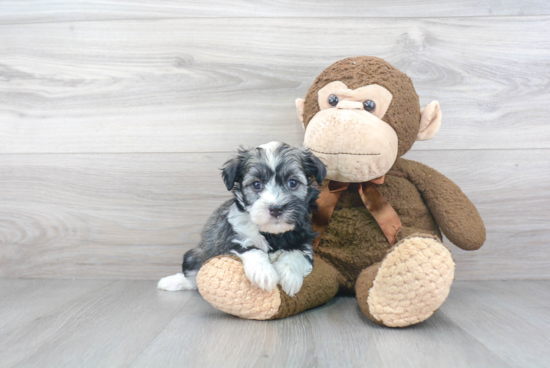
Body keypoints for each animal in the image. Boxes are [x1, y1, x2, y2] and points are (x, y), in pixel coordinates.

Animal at [157, 141, 326, 296]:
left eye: (292, 182)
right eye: (256, 184)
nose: (276, 208)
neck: (272, 234)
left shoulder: (304, 239)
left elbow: (297, 253)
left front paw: (289, 276)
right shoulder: (232, 239)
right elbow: (251, 249)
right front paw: (264, 273)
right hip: (195, 255)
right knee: (195, 275)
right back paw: (173, 282)